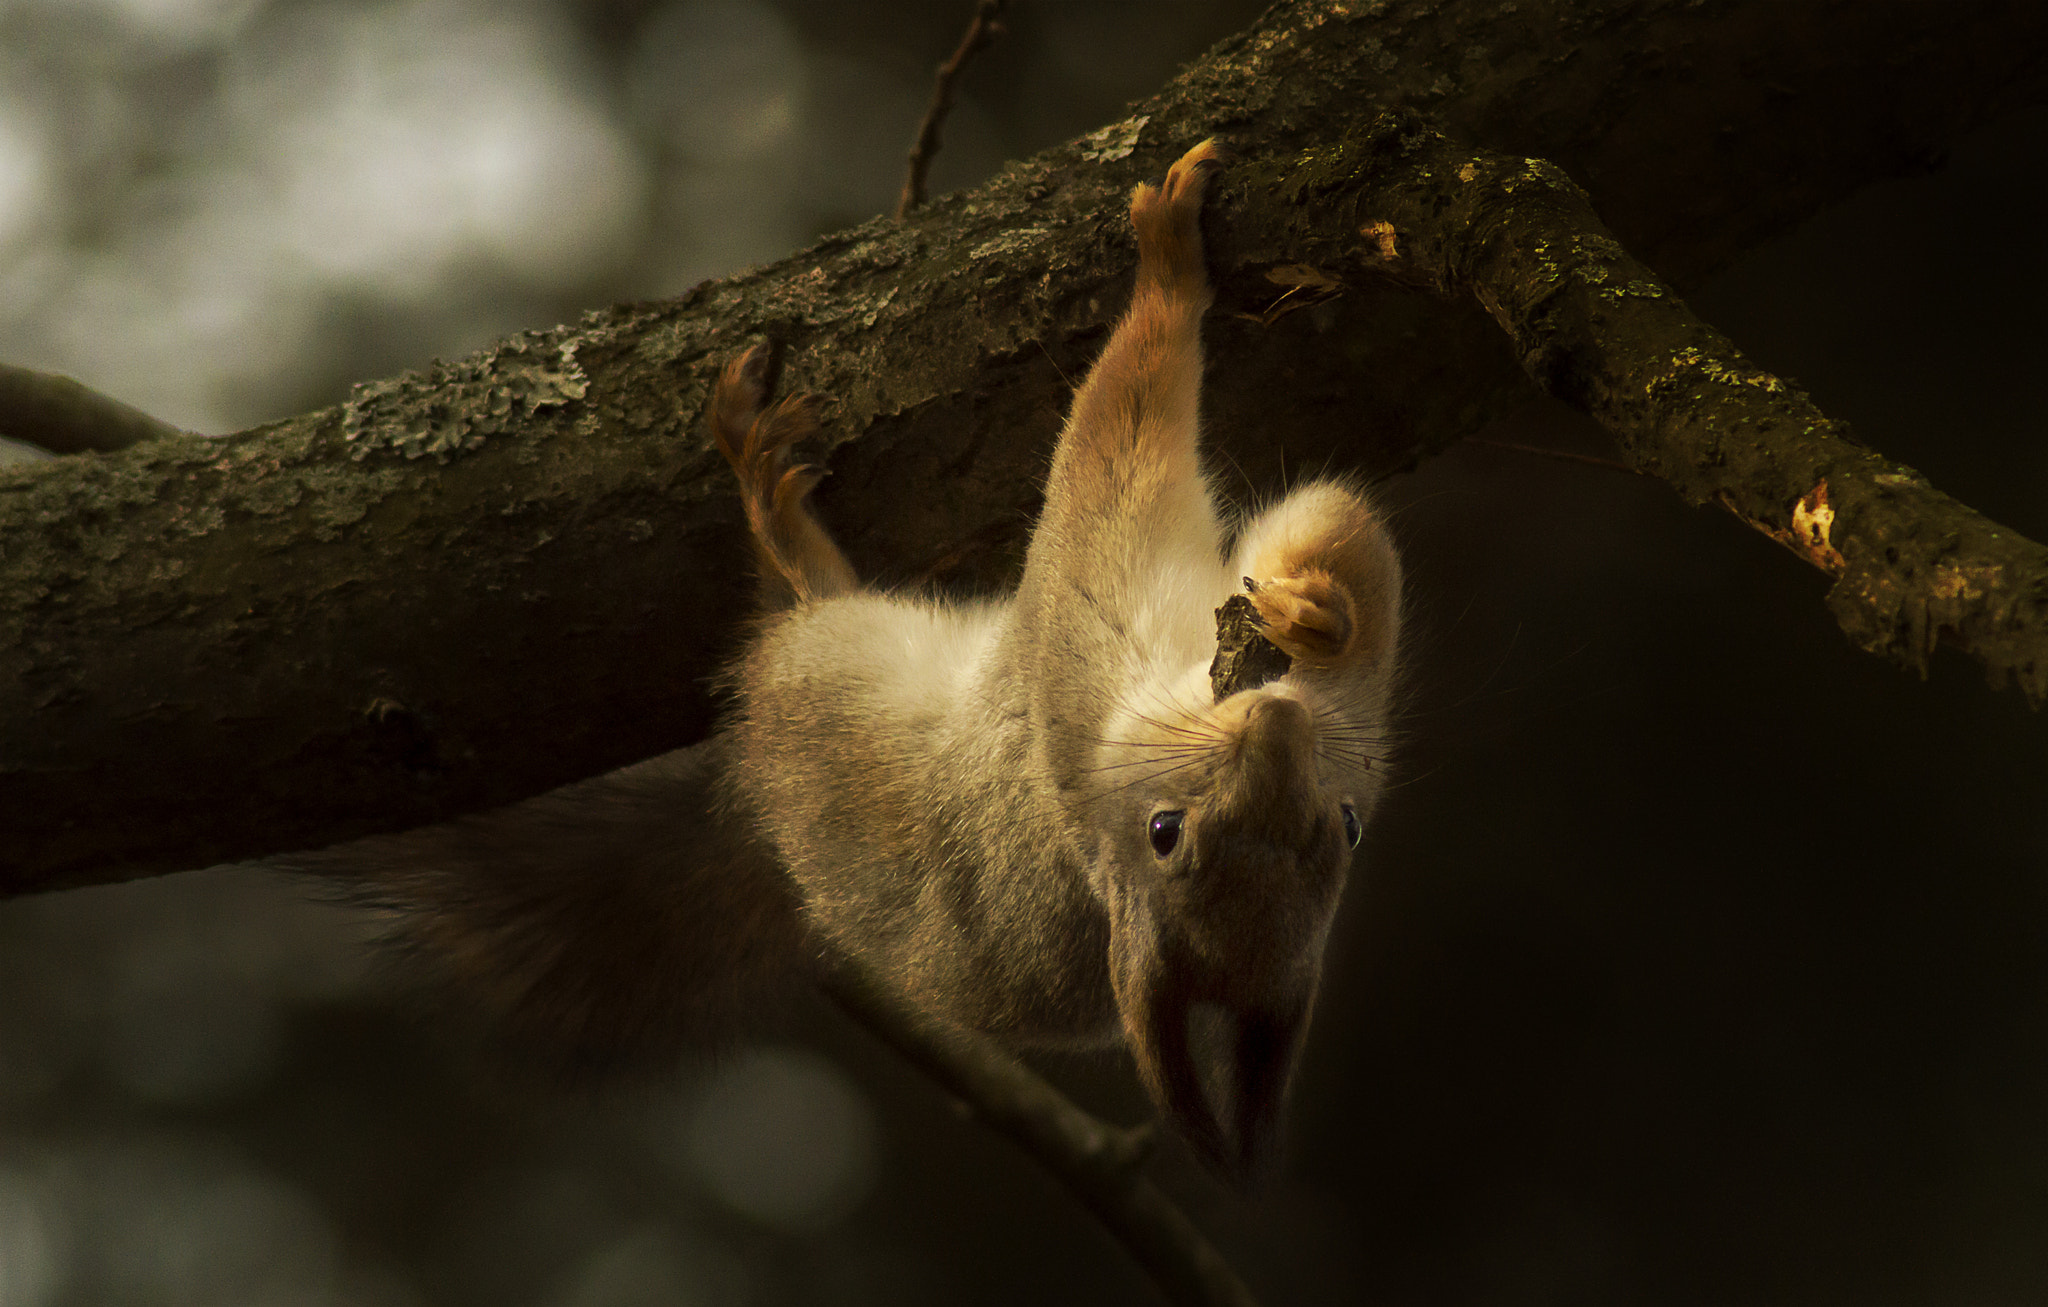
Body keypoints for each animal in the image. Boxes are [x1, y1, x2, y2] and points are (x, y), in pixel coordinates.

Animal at [287, 140, 1403, 1182]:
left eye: (1347, 827)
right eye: (1166, 834)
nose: (1277, 722)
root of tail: (759, 804)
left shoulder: (1185, 665)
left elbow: (1166, 459)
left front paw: (1169, 272)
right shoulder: (1103, 647)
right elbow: (1239, 494)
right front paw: (1311, 604)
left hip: (825, 661)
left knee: (789, 610)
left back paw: (774, 514)